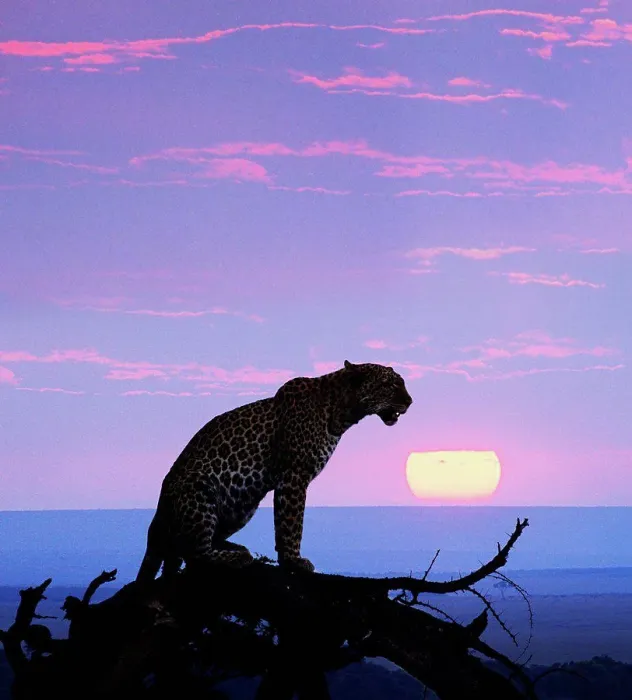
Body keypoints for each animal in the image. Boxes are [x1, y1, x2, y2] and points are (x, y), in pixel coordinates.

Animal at [136, 360, 413, 581]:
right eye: (389, 385)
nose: (410, 401)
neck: (341, 412)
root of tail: (158, 512)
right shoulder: (294, 475)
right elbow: (291, 523)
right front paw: (293, 561)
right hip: (200, 490)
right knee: (194, 552)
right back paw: (236, 557)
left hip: (242, 504)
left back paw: (236, 548)